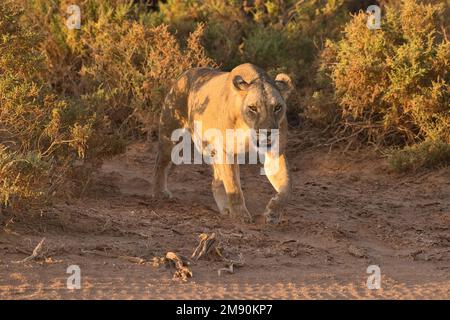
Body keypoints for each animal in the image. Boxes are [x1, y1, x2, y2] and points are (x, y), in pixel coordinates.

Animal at [153, 62, 294, 222]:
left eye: (277, 107)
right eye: (253, 108)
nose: (267, 132)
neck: (247, 127)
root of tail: (187, 72)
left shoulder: (275, 153)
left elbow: (287, 187)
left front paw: (273, 212)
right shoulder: (227, 151)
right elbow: (233, 186)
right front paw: (240, 216)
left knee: (216, 181)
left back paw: (225, 208)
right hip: (171, 135)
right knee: (161, 162)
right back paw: (160, 193)